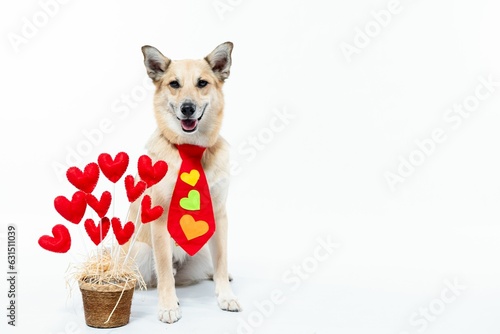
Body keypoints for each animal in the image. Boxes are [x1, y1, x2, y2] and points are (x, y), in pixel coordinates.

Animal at [127, 41, 240, 324]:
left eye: (202, 83)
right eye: (174, 84)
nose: (187, 108)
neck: (190, 149)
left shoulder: (219, 215)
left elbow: (222, 260)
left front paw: (226, 296)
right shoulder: (159, 220)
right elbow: (164, 271)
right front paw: (168, 306)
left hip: (201, 252)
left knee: (209, 267)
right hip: (140, 251)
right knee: (154, 275)